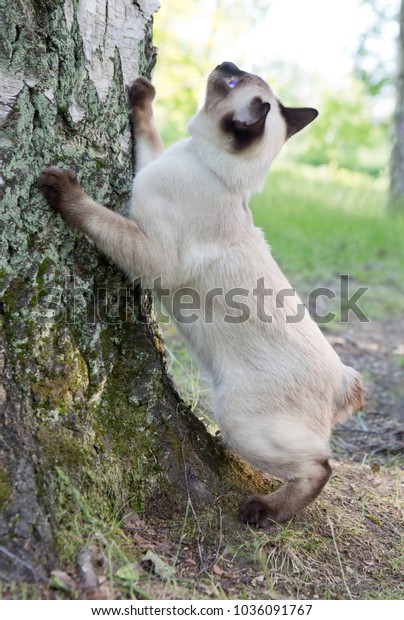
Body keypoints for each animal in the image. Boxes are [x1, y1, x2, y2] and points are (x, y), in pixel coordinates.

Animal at [39, 61, 364, 528]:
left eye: (230, 83)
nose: (226, 64)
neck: (204, 163)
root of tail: (344, 380)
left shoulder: (150, 251)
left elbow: (95, 215)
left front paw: (63, 189)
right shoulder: (150, 169)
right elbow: (147, 132)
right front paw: (142, 93)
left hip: (241, 420)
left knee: (321, 467)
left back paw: (263, 511)